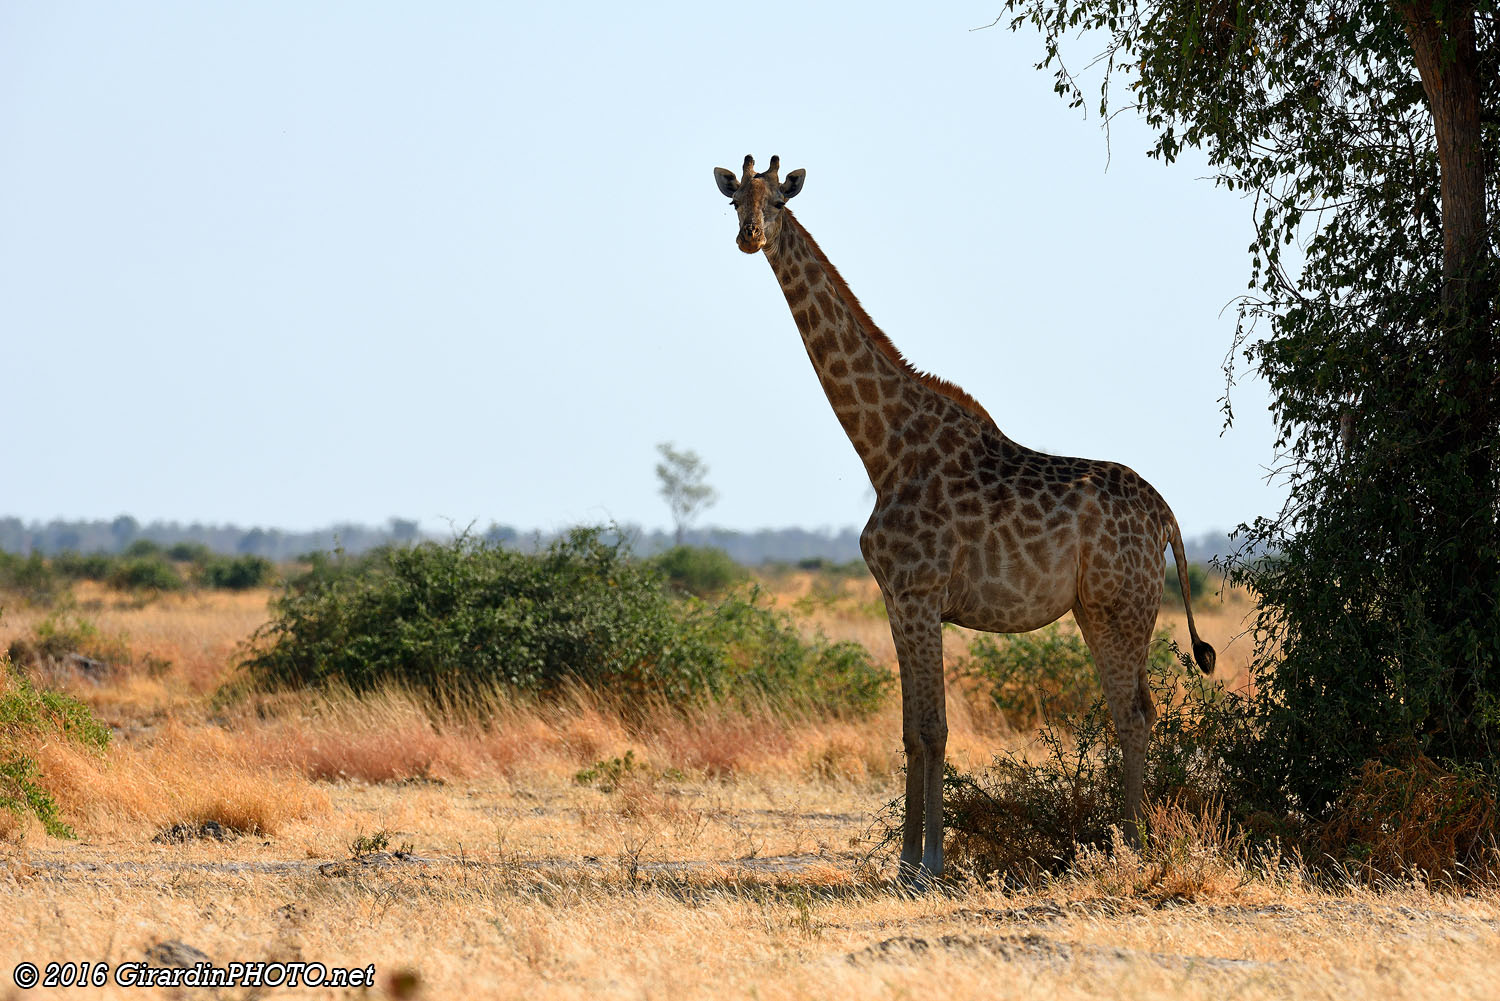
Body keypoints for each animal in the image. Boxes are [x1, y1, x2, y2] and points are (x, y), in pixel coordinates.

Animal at [712, 155, 1217, 880]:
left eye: (779, 200)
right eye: (734, 202)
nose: (749, 236)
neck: (883, 447)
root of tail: (1168, 518)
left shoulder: (922, 594)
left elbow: (935, 728)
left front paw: (932, 865)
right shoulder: (897, 599)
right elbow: (908, 730)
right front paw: (905, 864)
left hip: (1121, 603)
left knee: (1134, 712)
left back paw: (1130, 848)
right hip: (1100, 607)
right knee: (1136, 709)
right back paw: (1130, 842)